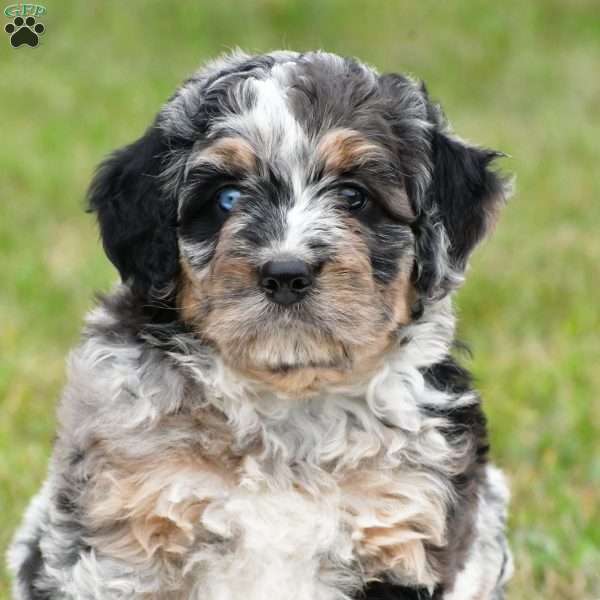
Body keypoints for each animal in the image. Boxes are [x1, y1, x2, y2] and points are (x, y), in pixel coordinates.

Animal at [9, 51, 512, 600]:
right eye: (227, 199)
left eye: (354, 197)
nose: (286, 273)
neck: (290, 407)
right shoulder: (130, 533)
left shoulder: (400, 530)